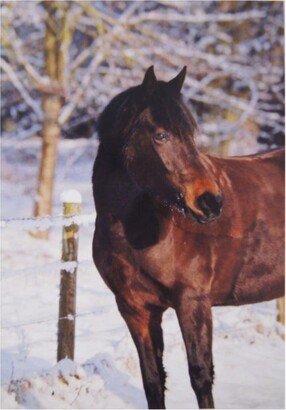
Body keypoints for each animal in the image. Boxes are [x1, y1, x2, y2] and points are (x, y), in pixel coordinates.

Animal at [92, 65, 284, 408]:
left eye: (191, 134)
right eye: (161, 135)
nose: (211, 202)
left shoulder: (193, 303)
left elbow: (200, 376)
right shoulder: (135, 310)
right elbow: (153, 381)